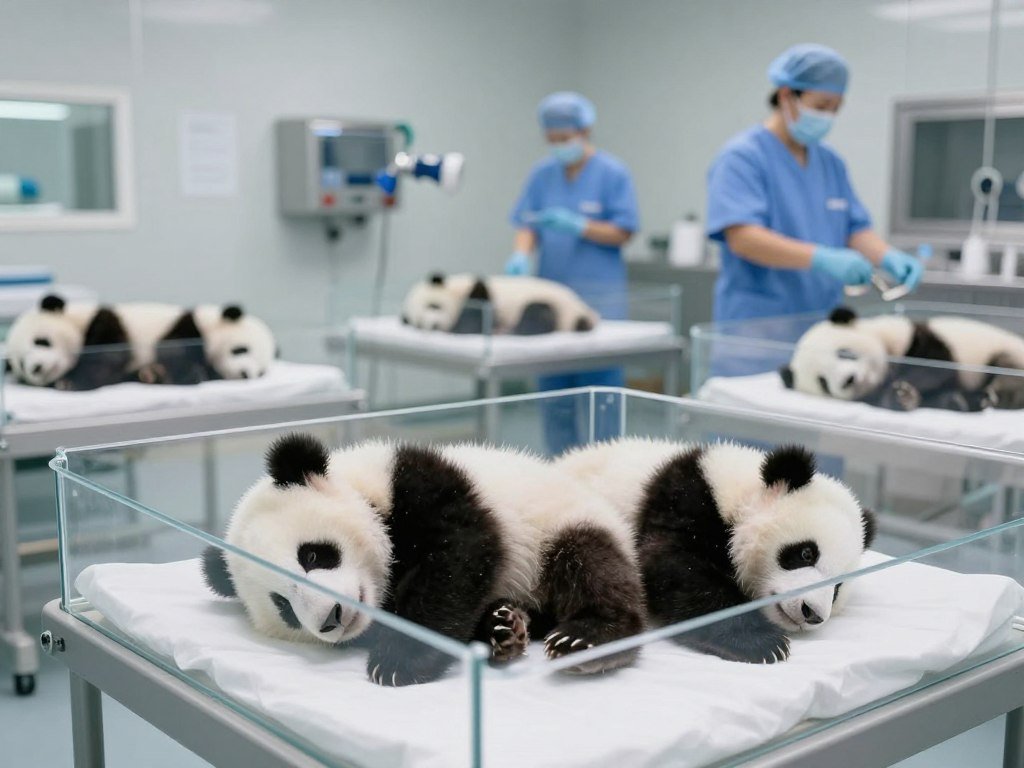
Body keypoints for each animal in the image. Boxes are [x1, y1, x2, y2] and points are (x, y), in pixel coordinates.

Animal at [201, 433, 645, 686]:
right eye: (284, 607)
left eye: (312, 555)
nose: (330, 618)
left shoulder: (422, 486)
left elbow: (457, 560)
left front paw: (398, 661)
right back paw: (504, 627)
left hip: (561, 525)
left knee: (589, 565)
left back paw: (586, 640)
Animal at [401, 273, 599, 335]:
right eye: (419, 323)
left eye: (433, 306)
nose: (434, 326)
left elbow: (471, 322)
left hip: (552, 304)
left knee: (536, 314)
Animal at [557, 438, 875, 664]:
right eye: (806, 554)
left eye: (838, 588)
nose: (813, 613)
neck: (738, 494)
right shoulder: (684, 504)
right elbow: (673, 568)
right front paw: (762, 642)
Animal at [779, 306, 1024, 412]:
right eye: (823, 382)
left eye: (844, 352)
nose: (848, 380)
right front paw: (903, 397)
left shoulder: (913, 336)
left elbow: (936, 368)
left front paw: (901, 390)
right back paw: (972, 400)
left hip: (1003, 350)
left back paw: (1000, 395)